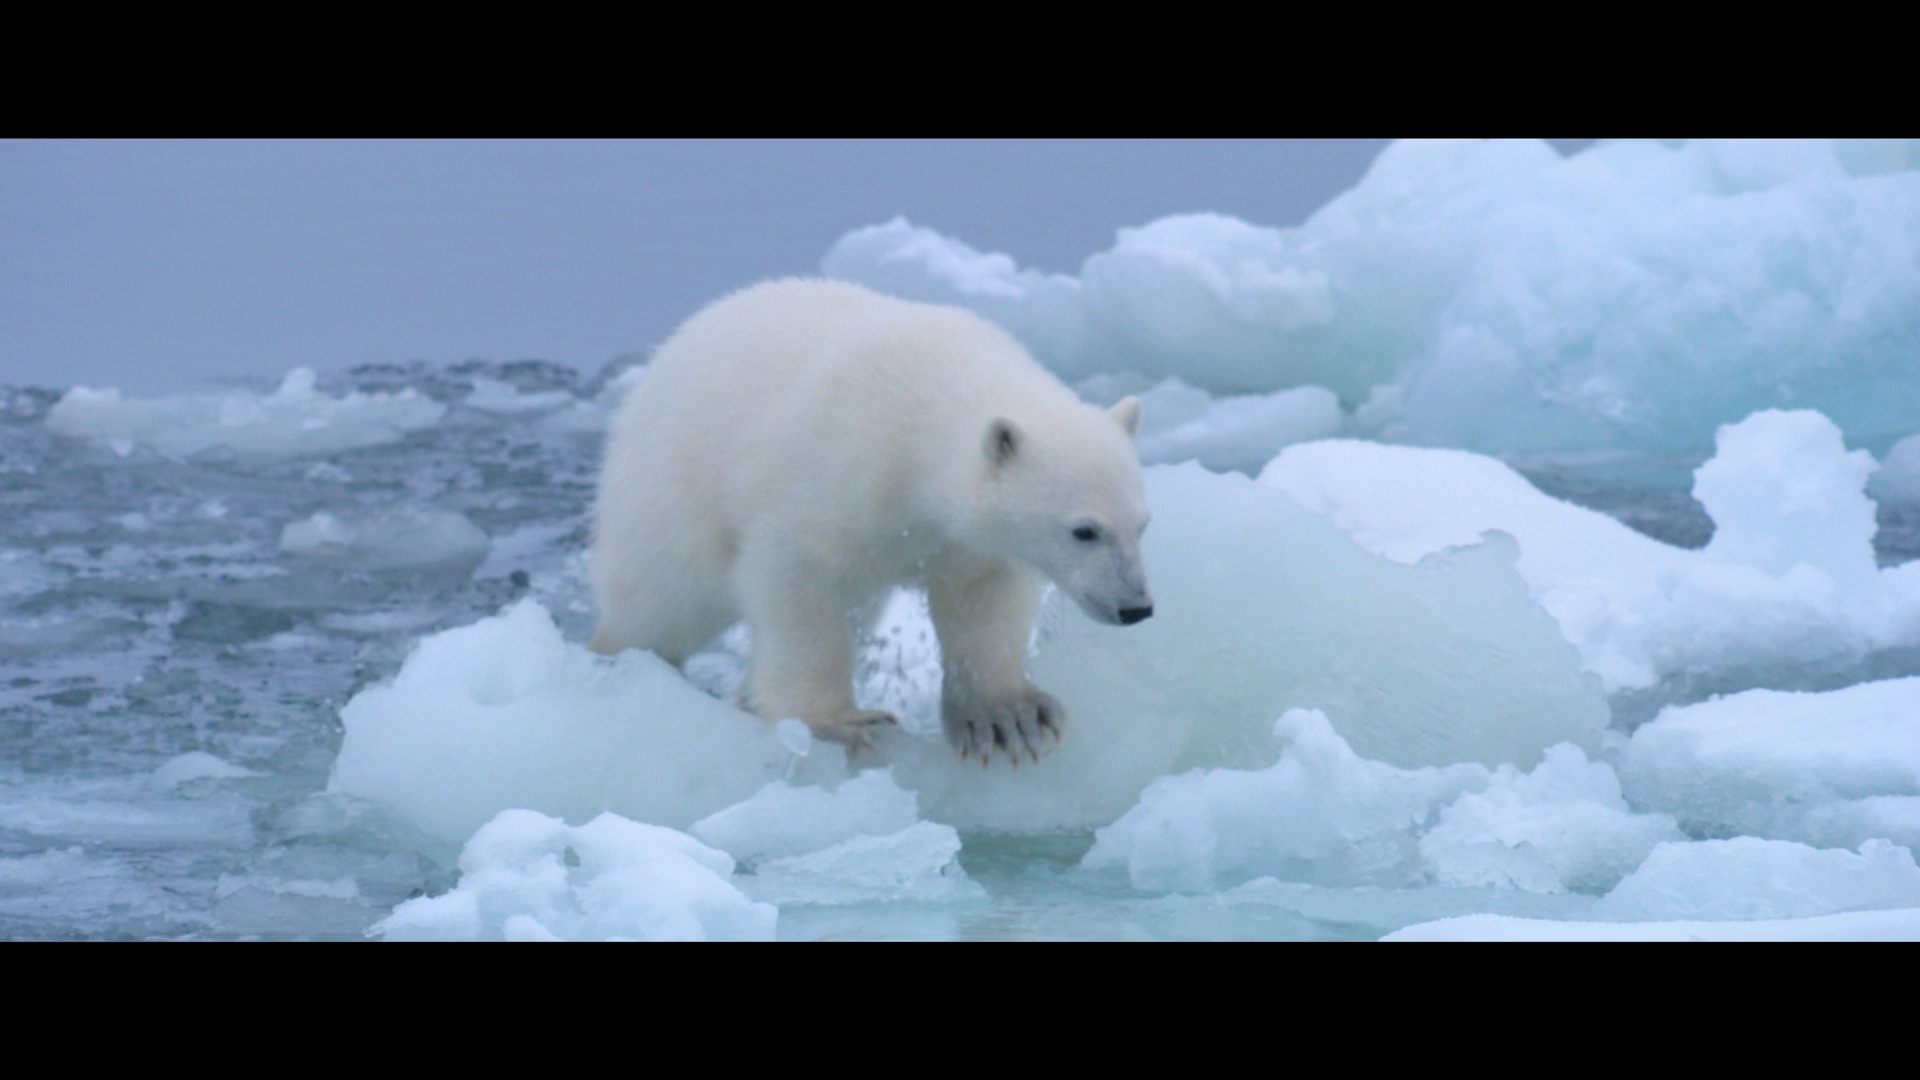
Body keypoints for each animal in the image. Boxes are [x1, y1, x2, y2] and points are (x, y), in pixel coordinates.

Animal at [591, 278, 1144, 764]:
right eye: (1084, 530)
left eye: (1142, 524)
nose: (1136, 607)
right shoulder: (836, 470)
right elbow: (794, 577)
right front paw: (836, 723)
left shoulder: (963, 540)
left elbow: (982, 599)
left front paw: (1006, 717)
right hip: (670, 497)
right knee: (660, 603)